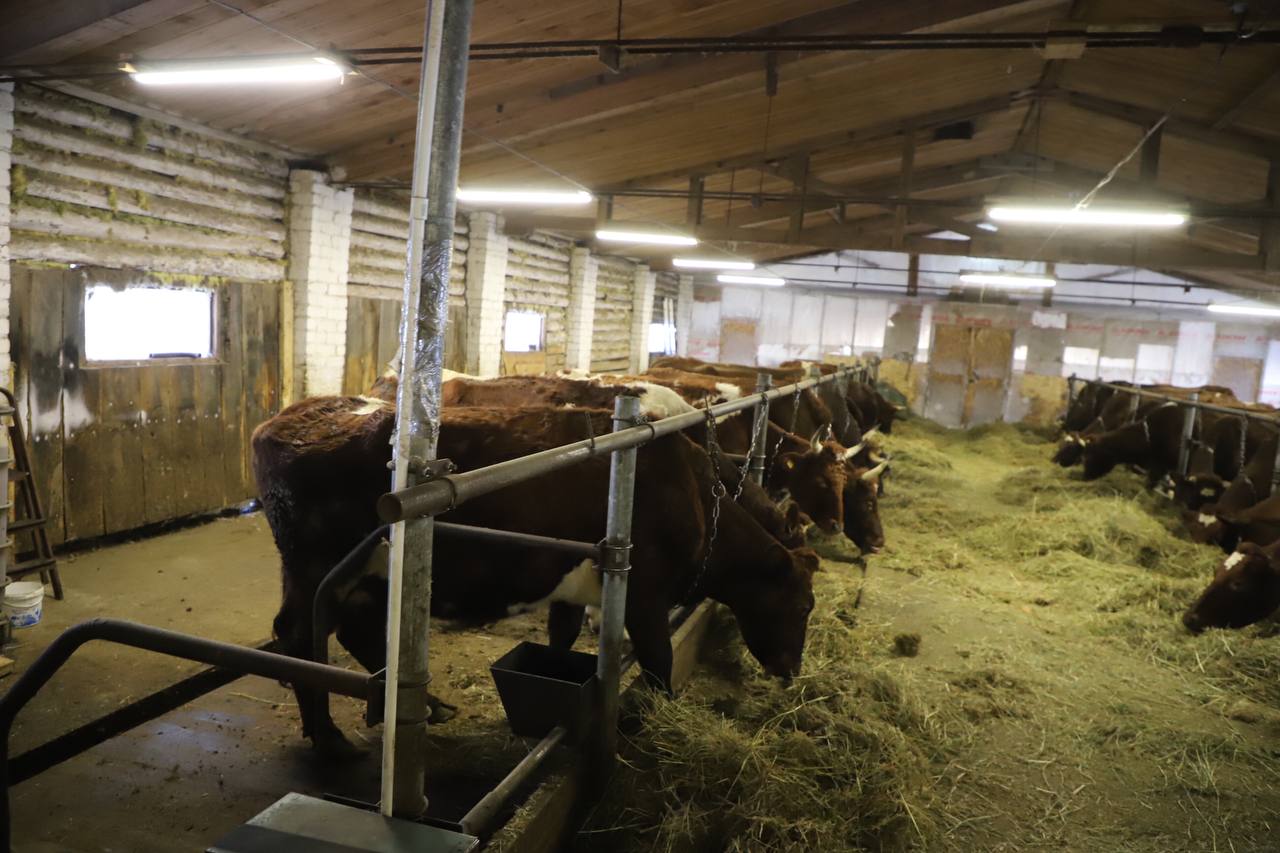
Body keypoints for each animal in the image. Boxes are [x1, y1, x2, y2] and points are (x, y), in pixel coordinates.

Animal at [252, 396, 819, 757]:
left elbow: (561, 639)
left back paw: (428, 706)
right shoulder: (645, 591)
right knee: (299, 636)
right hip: (315, 566)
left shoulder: (572, 589)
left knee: (351, 632)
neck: (697, 495)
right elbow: (658, 659)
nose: (791, 670)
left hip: (360, 577)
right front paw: (654, 719)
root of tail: (287, 418)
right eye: (803, 605)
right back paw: (330, 738)